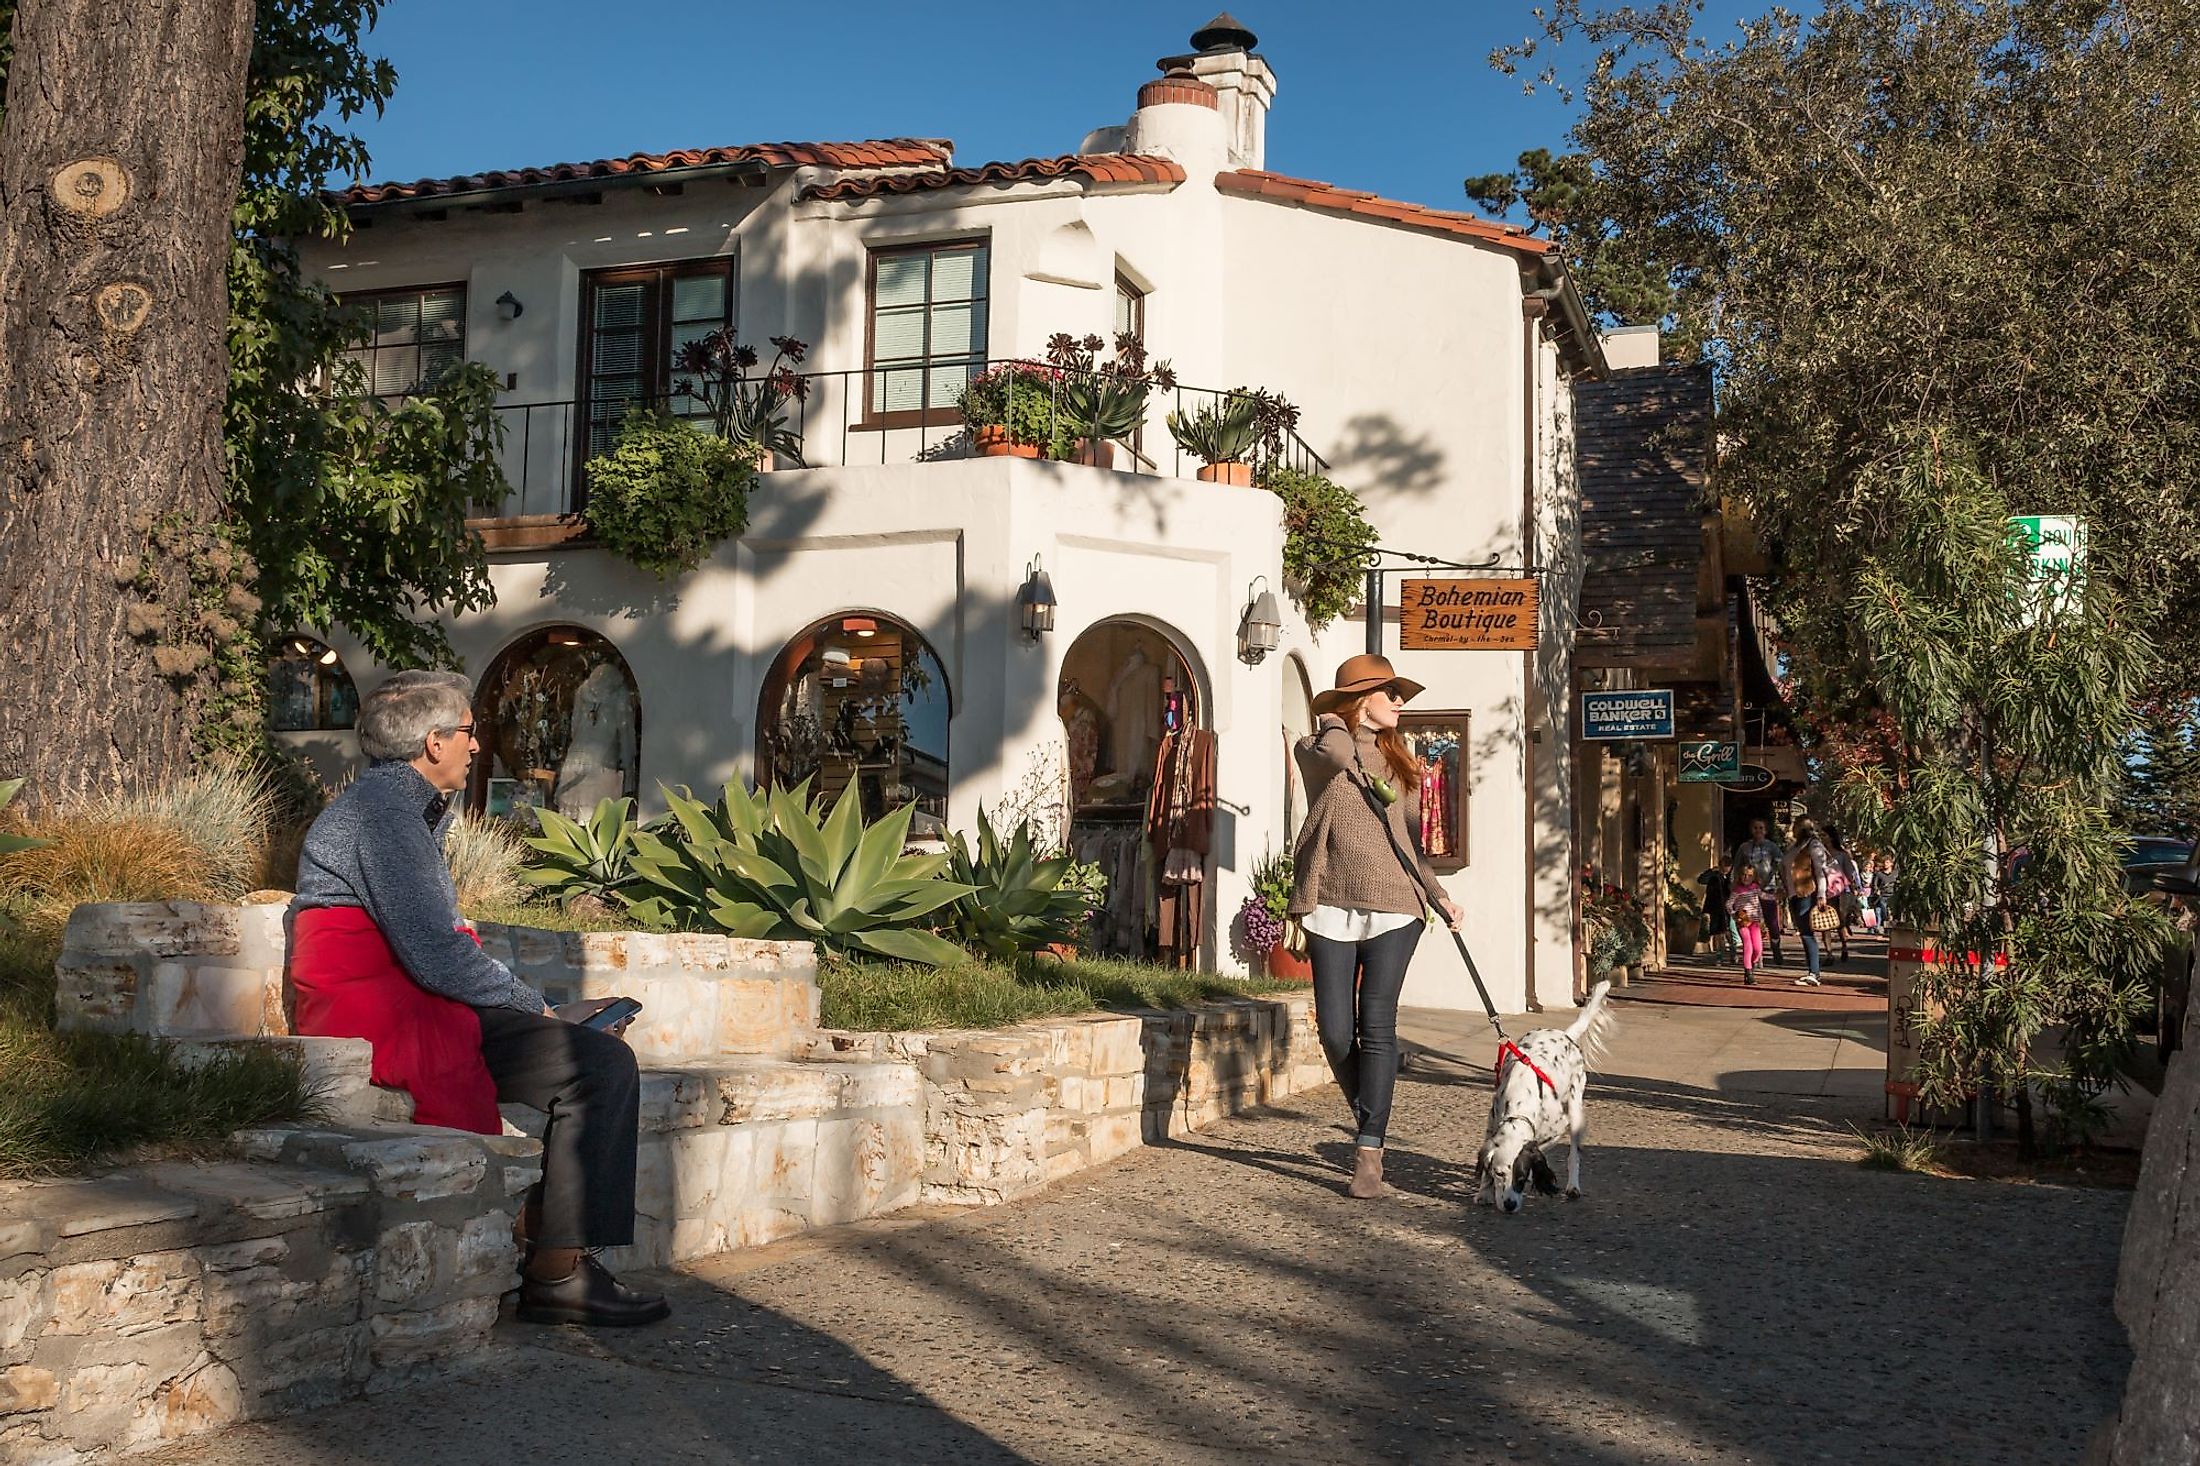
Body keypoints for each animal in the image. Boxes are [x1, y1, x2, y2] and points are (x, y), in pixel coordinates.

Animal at [1478, 981, 1619, 1206]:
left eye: (1520, 1177)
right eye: (1499, 1173)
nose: (1509, 1205)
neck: (1521, 1100)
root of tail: (1566, 1035)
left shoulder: (1557, 1129)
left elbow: (1542, 1150)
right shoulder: (1492, 1123)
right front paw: (1484, 1192)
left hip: (1575, 1111)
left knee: (1574, 1156)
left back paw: (1573, 1187)